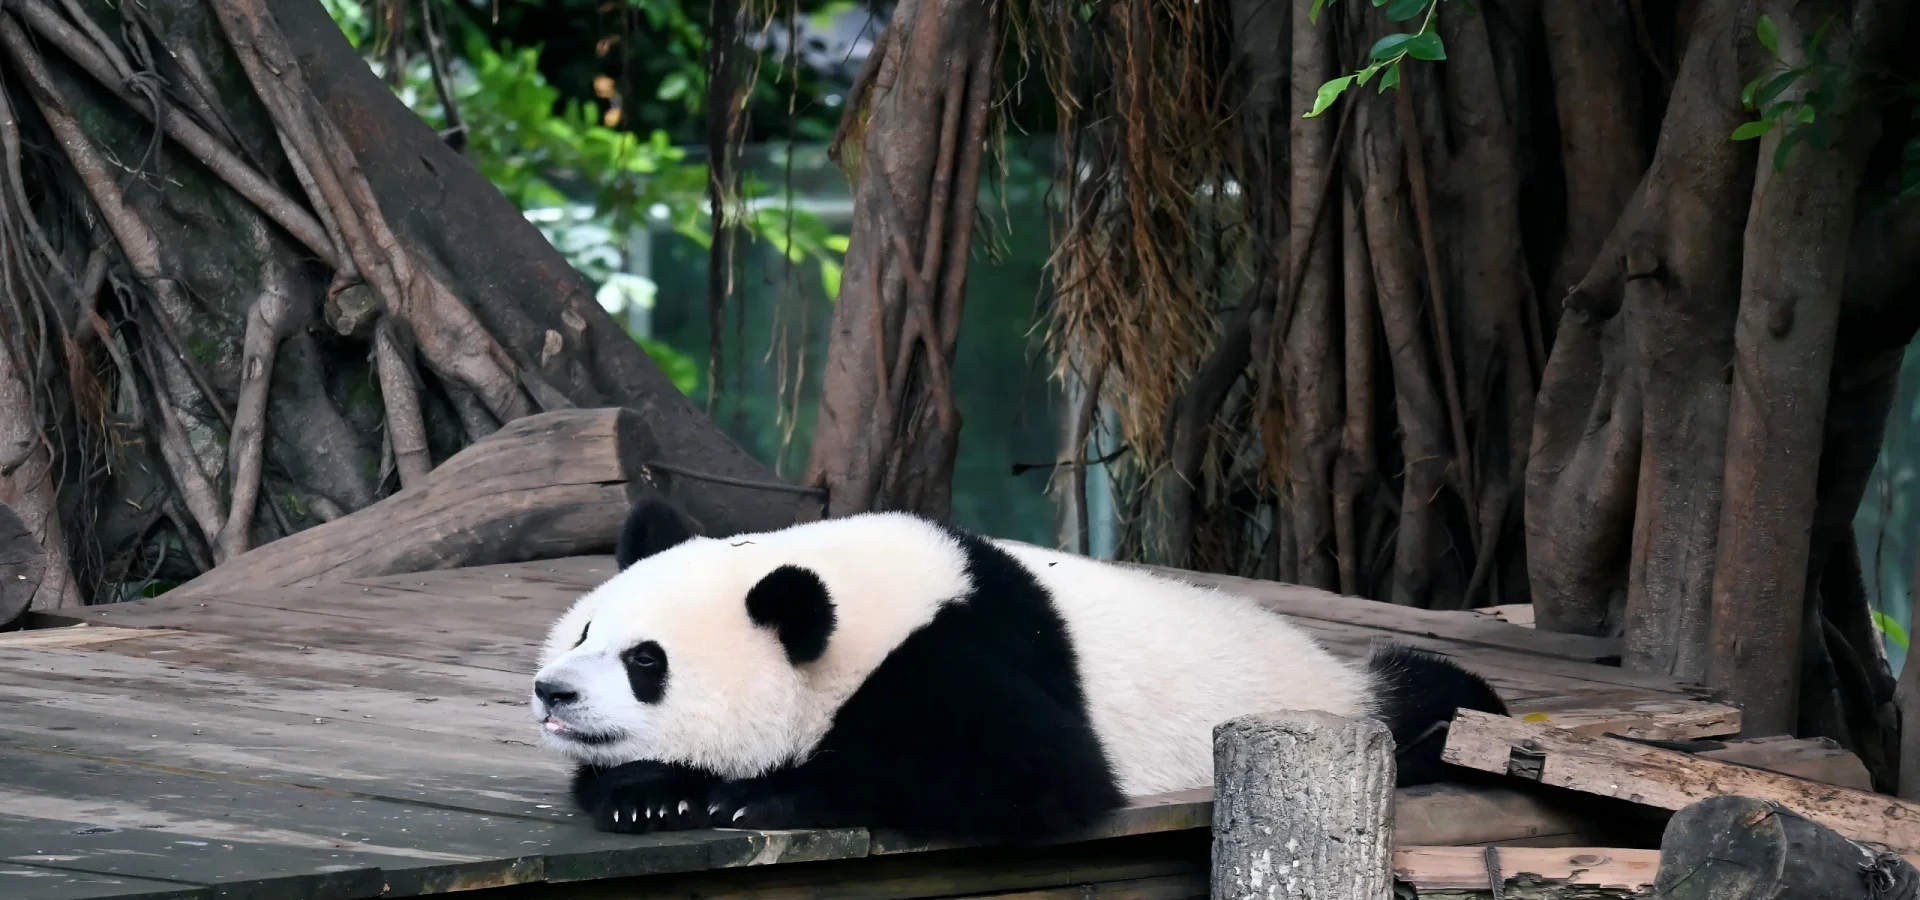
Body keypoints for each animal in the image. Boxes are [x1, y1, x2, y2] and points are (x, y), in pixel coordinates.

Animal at [530, 498, 1507, 843]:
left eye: (646, 661)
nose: (553, 691)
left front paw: (763, 796)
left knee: (1438, 699)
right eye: (584, 630)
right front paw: (651, 794)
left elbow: (1025, 775)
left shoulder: (958, 654)